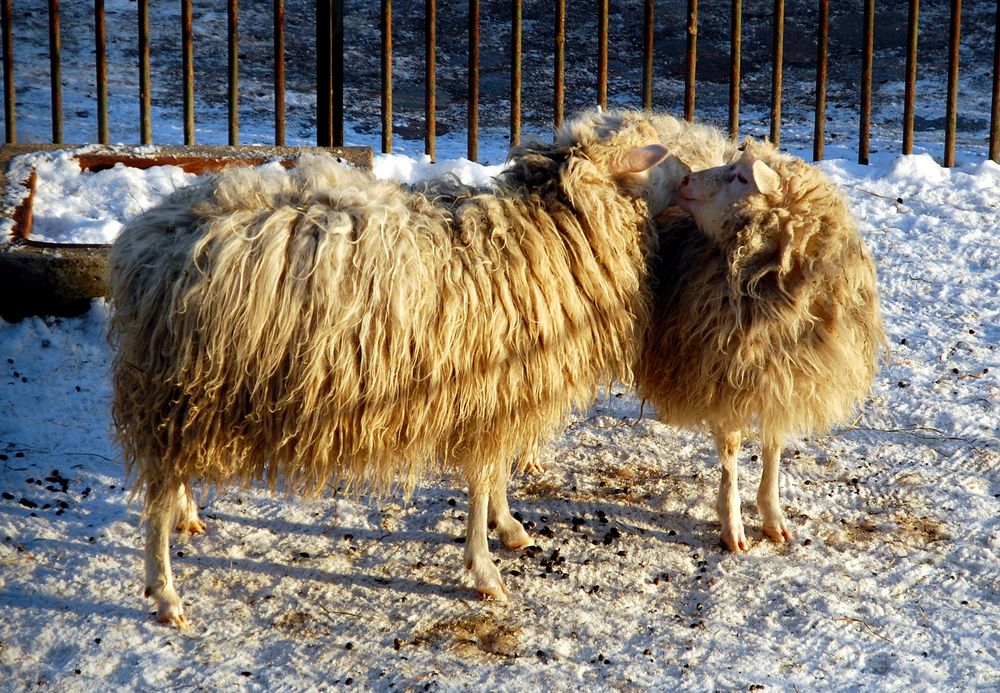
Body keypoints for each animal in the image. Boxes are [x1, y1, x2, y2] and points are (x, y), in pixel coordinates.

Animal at [109, 111, 668, 624]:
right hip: (179, 386)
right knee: (156, 498)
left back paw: (187, 517)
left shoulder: (501, 398)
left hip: (190, 395)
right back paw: (166, 594)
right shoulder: (487, 395)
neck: (547, 230)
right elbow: (481, 480)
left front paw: (507, 528)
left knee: (171, 477)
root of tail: (145, 243)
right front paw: (485, 569)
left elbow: (494, 475)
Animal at [636, 139, 888, 552]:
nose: (685, 179)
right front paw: (732, 526)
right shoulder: (722, 374)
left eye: (741, 177)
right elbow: (732, 448)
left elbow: (774, 444)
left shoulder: (782, 377)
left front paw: (772, 517)